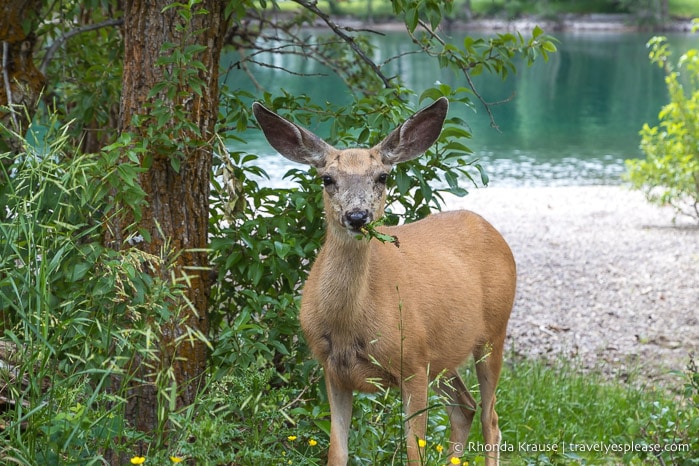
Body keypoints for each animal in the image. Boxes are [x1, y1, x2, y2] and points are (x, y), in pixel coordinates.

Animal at [254, 96, 516, 464]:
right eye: (327, 178)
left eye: (382, 176)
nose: (357, 216)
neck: (349, 324)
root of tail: (490, 228)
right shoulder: (333, 369)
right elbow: (337, 450)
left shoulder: (413, 364)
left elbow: (414, 452)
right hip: (442, 352)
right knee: (464, 407)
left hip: (493, 332)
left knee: (490, 419)